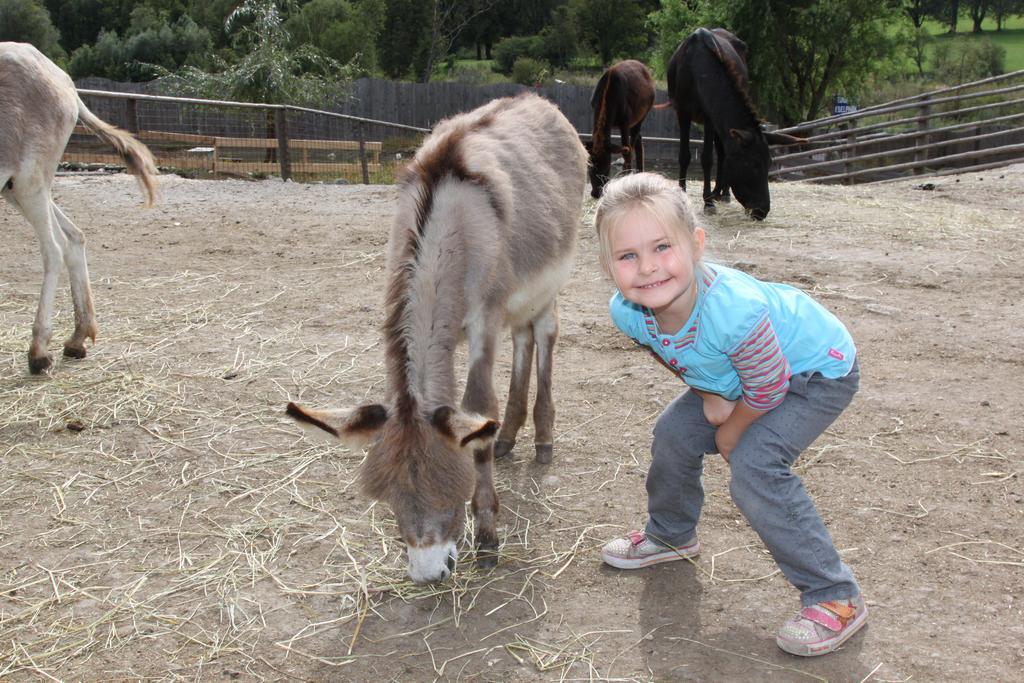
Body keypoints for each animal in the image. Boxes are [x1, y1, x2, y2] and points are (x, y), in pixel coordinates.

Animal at [288, 93, 589, 585]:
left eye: (452, 487)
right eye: (391, 499)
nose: (429, 575)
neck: (449, 229)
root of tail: (534, 98)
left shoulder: (485, 322)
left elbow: (478, 405)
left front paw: (487, 535)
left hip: (548, 280)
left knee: (543, 334)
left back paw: (542, 437)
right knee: (523, 339)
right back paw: (509, 435)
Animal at [585, 59, 655, 198]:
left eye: (607, 165)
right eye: (590, 165)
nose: (596, 193)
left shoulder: (625, 122)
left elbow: (626, 151)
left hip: (643, 114)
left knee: (634, 140)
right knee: (638, 139)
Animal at [667, 28, 802, 220]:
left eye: (769, 163)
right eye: (754, 165)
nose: (762, 210)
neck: (698, 72)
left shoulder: (710, 117)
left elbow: (708, 158)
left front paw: (708, 201)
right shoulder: (682, 112)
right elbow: (685, 156)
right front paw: (684, 194)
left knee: (722, 153)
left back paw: (722, 194)